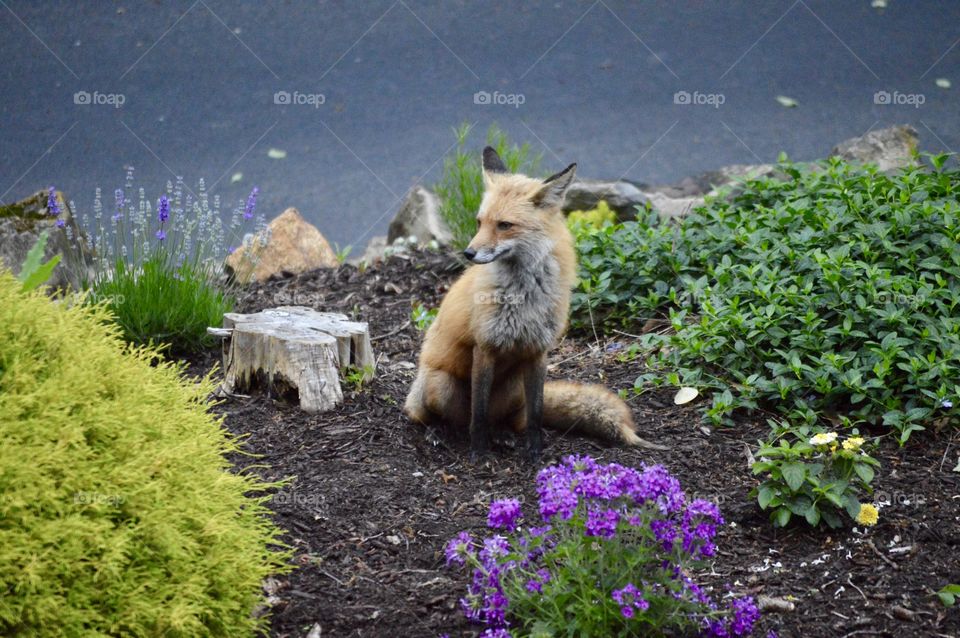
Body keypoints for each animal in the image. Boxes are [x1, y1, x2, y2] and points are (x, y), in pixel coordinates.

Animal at [404, 146, 661, 460]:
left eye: (504, 225)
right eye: (479, 222)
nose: (468, 253)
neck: (523, 296)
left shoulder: (539, 351)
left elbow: (536, 413)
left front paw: (535, 452)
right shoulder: (484, 347)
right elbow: (478, 414)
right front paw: (479, 453)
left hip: (514, 388)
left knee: (506, 419)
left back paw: (501, 434)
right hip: (439, 385)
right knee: (453, 418)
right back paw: (441, 432)